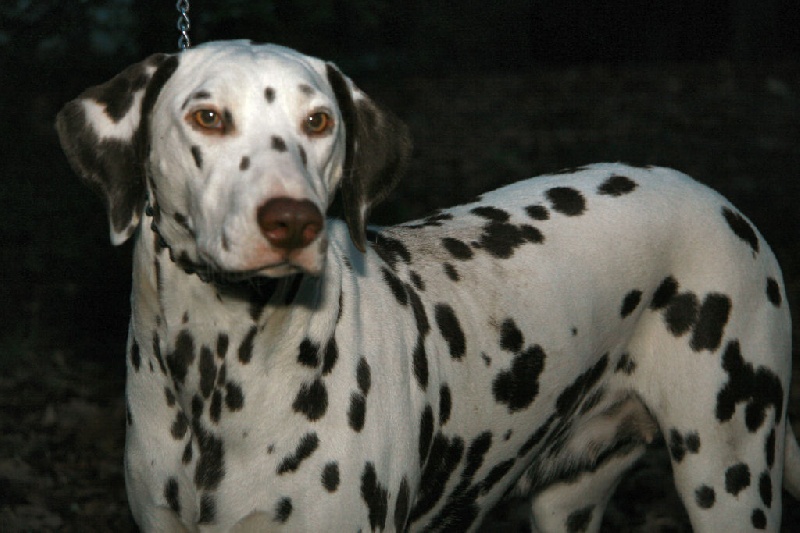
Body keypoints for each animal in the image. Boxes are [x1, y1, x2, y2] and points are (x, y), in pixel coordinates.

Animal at [57, 39, 800, 528]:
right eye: (207, 117)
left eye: (318, 121)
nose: (292, 220)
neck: (218, 378)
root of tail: (721, 205)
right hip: (570, 499)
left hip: (729, 475)